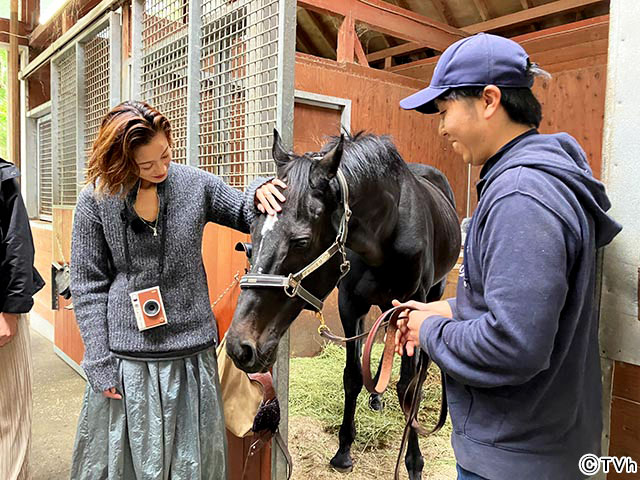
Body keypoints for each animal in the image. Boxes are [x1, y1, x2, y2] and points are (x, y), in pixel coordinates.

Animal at [225, 129, 460, 478]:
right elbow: (352, 376)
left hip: (433, 293)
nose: (240, 347)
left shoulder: (411, 306)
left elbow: (408, 385)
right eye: (253, 229)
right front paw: (344, 450)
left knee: (421, 366)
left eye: (301, 242)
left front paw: (414, 461)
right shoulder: (351, 306)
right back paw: (376, 395)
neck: (388, 230)